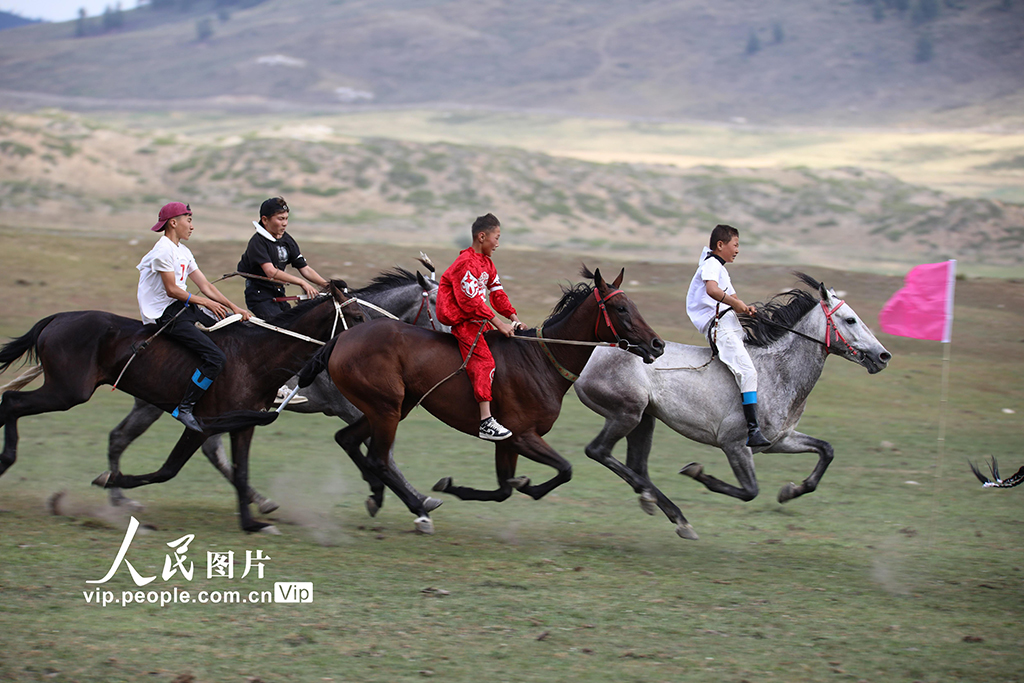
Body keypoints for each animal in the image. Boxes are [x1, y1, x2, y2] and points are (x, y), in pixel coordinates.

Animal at [0, 280, 366, 532]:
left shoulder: (244, 425)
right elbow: (169, 469)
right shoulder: (203, 424)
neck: (255, 356)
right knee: (12, 401)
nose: (368, 343)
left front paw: (251, 523)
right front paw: (112, 479)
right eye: (357, 315)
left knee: (16, 404)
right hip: (67, 392)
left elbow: (241, 470)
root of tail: (58, 317)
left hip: (75, 392)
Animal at [101, 266, 442, 511]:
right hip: (160, 403)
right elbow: (384, 452)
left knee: (195, 447)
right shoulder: (356, 409)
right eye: (439, 302)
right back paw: (118, 496)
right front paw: (416, 502)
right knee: (122, 437)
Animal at [296, 266, 663, 532]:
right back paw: (418, 507)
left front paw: (457, 486)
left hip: (388, 408)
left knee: (348, 439)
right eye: (621, 308)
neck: (541, 361)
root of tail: (343, 337)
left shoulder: (509, 441)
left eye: (635, 306)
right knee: (379, 459)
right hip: (385, 409)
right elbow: (565, 469)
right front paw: (526, 485)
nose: (657, 344)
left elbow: (503, 489)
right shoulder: (524, 435)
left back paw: (390, 497)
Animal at [573, 272, 892, 540]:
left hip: (644, 417)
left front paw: (790, 491)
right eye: (850, 320)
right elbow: (750, 490)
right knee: (599, 451)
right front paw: (698, 473)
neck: (776, 372)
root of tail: (592, 351)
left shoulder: (780, 441)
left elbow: (826, 450)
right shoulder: (735, 444)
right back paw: (670, 510)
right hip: (627, 413)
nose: (884, 356)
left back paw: (661, 507)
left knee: (637, 465)